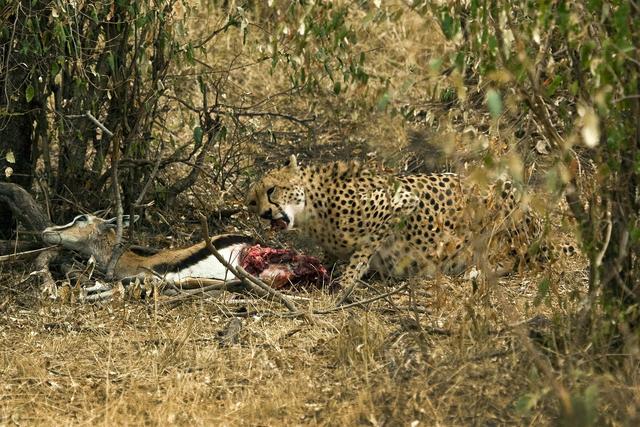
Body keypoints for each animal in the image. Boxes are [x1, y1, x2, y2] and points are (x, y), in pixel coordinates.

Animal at [245, 155, 568, 290]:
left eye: (271, 190)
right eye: (253, 202)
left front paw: (348, 280)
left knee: (519, 257)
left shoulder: (401, 201)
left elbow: (365, 249)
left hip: (501, 197)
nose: (265, 214)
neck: (313, 209)